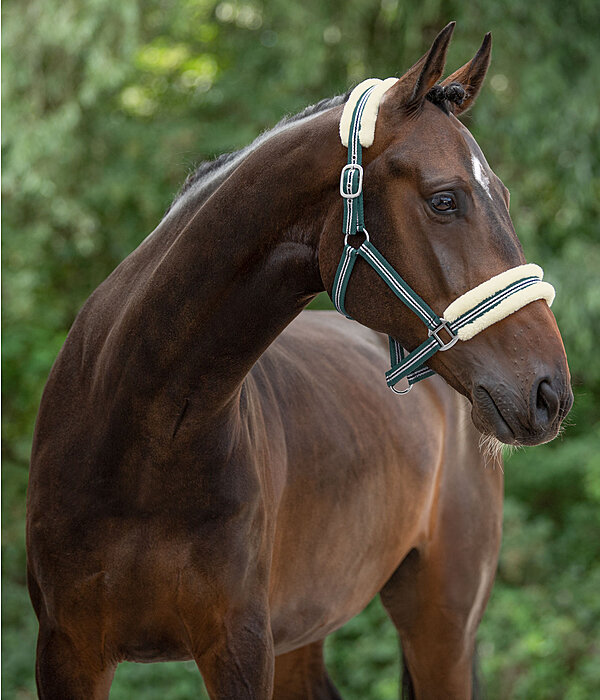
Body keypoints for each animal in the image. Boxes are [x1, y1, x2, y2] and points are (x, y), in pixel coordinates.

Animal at [28, 23, 572, 700]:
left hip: (440, 622)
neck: (143, 434)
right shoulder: (68, 651)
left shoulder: (240, 648)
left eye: (502, 194)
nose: (549, 391)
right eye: (445, 199)